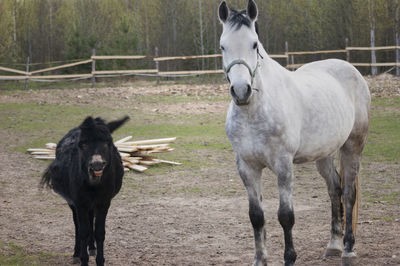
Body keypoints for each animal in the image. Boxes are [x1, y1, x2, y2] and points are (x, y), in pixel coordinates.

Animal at [40, 116, 129, 266]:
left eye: (107, 143)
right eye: (82, 144)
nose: (97, 165)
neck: (94, 185)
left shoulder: (104, 202)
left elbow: (100, 232)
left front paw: (100, 260)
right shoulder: (79, 202)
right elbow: (82, 231)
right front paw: (83, 259)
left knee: (90, 218)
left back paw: (91, 247)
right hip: (73, 203)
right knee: (77, 225)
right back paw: (77, 253)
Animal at [219, 1, 372, 264]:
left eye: (254, 44)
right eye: (222, 46)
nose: (241, 91)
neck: (254, 111)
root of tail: (351, 70)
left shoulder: (283, 164)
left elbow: (285, 216)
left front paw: (289, 257)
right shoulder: (247, 166)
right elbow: (256, 216)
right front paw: (259, 259)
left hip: (353, 146)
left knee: (349, 193)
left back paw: (348, 247)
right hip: (323, 154)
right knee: (335, 190)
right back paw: (333, 245)